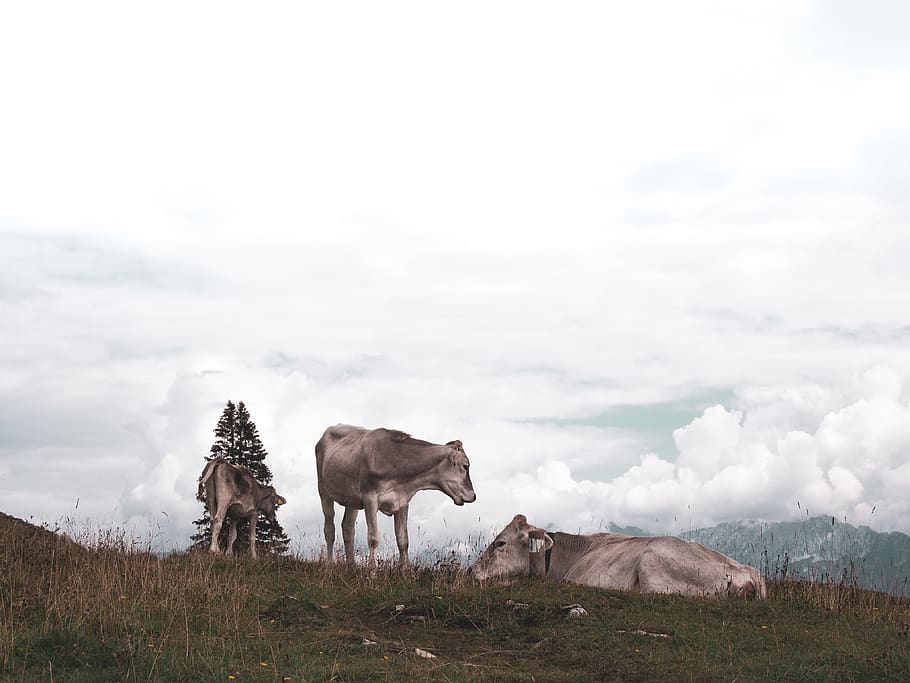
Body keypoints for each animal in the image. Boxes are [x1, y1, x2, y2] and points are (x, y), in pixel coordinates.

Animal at [315, 424, 476, 565]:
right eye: (465, 466)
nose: (473, 495)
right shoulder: (370, 498)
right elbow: (373, 539)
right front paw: (371, 573)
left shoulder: (402, 501)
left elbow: (403, 540)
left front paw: (405, 572)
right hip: (323, 490)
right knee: (329, 529)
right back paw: (329, 565)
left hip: (352, 500)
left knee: (348, 528)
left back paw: (351, 567)